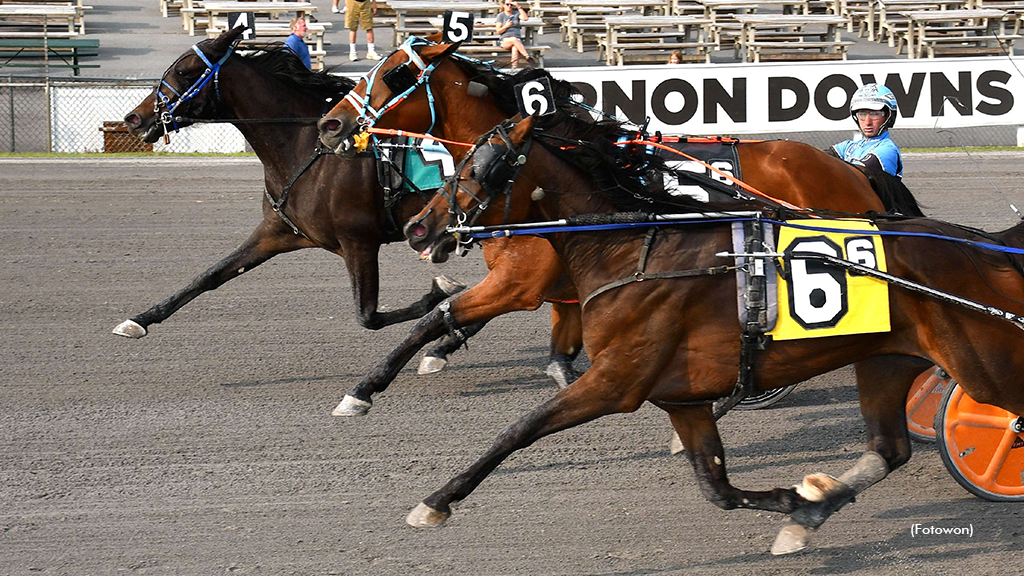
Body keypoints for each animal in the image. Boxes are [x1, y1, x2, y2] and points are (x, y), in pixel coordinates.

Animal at [115, 28, 460, 344]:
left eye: (184, 72)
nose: (134, 118)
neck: (306, 147)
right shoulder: (276, 232)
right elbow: (211, 275)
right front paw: (139, 320)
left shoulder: (358, 241)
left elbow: (369, 316)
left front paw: (439, 292)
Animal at [311, 38, 921, 414]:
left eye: (395, 74)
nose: (330, 123)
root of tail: (855, 167)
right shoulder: (560, 289)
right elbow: (552, 354)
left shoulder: (521, 281)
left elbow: (436, 317)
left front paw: (364, 390)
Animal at [399, 115, 1024, 553]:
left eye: (477, 167)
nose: (417, 227)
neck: (632, 249)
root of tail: (987, 249)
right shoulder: (684, 397)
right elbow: (716, 487)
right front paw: (795, 502)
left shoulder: (614, 382)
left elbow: (519, 429)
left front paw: (436, 502)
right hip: (886, 359)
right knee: (887, 449)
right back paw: (814, 511)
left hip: (986, 366)